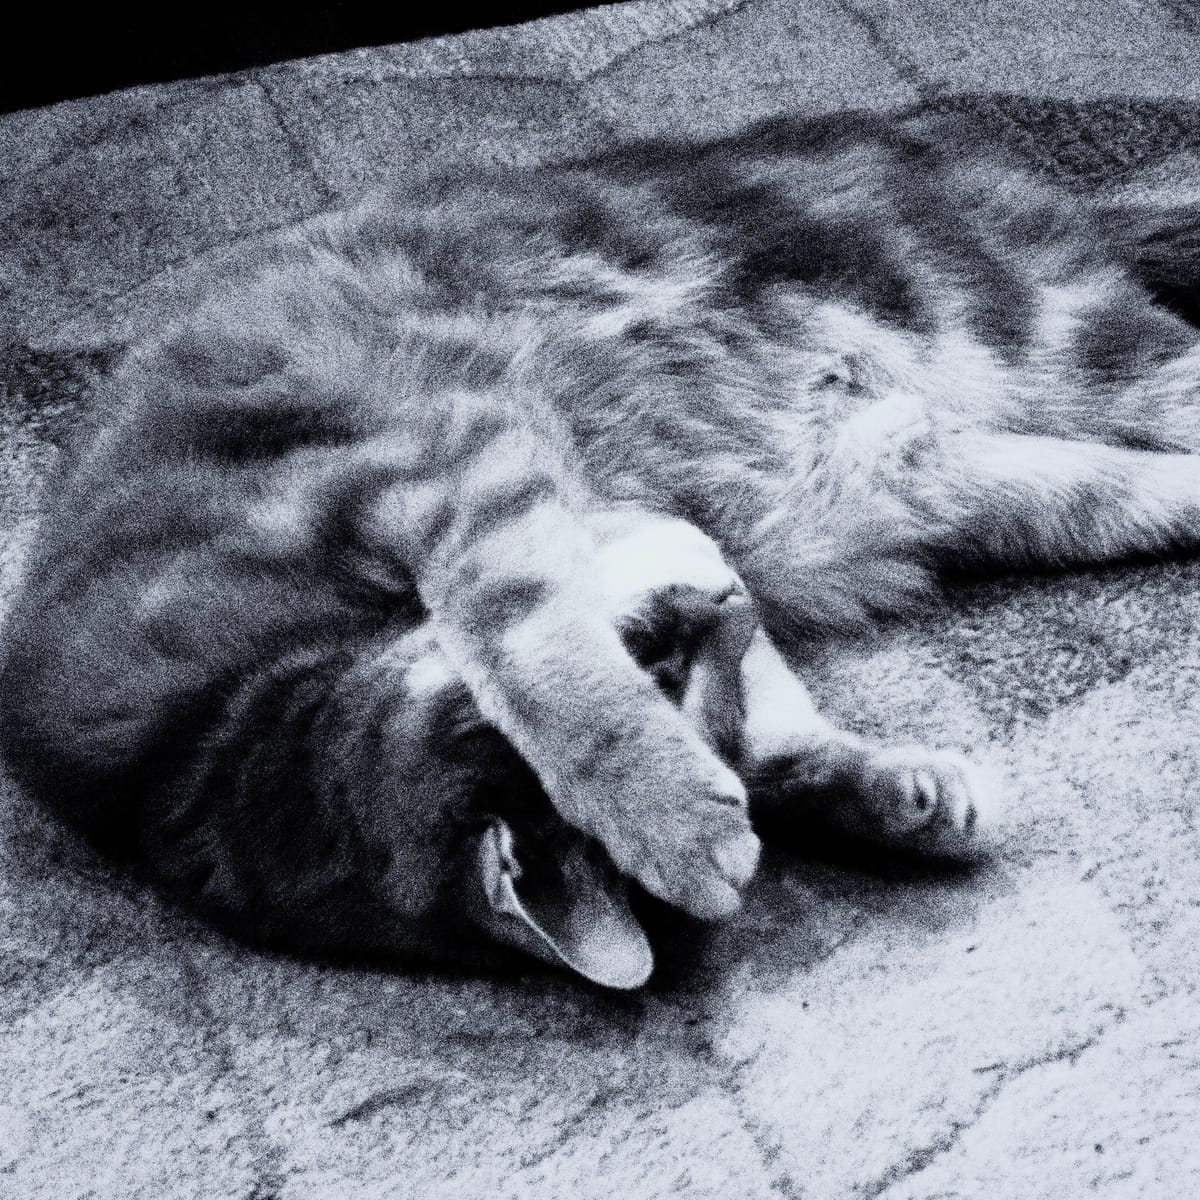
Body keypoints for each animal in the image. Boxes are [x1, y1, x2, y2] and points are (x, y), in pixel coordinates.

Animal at [2, 108, 1200, 988]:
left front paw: (666, 813)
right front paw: (889, 795)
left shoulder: (452, 476)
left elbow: (537, 663)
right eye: (679, 681)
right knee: (1123, 488)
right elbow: (777, 744)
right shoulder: (633, 525)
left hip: (1048, 343)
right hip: (959, 474)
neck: (199, 740)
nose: (719, 606)